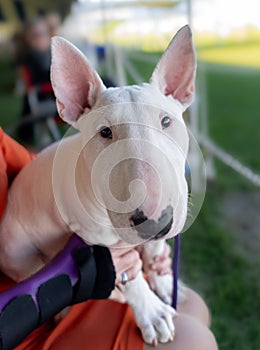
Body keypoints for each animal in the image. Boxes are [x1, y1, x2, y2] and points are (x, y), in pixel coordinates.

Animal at [0, 25, 195, 344]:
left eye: (166, 121)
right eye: (105, 132)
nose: (154, 222)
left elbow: (154, 251)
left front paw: (166, 281)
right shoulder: (94, 236)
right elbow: (128, 275)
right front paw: (152, 313)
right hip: (19, 253)